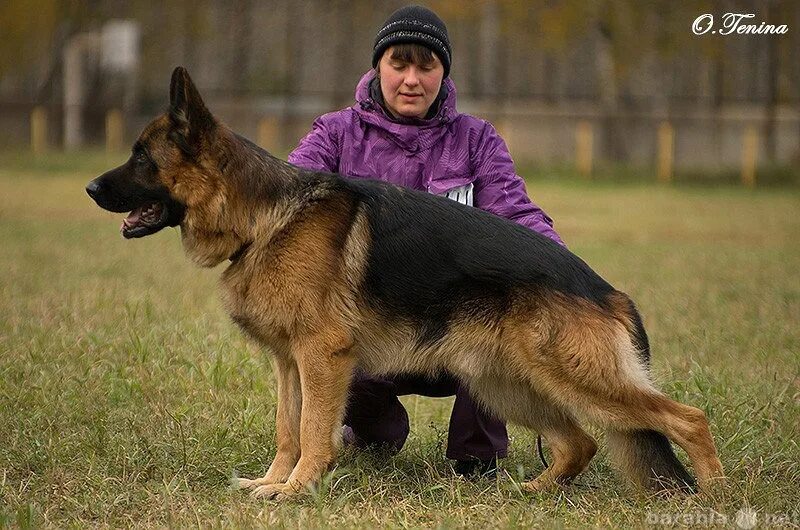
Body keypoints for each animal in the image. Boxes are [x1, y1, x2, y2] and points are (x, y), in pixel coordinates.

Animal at [86, 68, 724, 498]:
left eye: (141, 157)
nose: (90, 187)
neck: (265, 217)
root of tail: (609, 290)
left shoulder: (321, 356)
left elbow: (312, 431)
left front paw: (295, 493)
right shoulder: (289, 364)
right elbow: (287, 428)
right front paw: (273, 483)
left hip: (577, 379)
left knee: (688, 418)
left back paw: (715, 496)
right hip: (506, 383)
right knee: (580, 443)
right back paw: (531, 493)